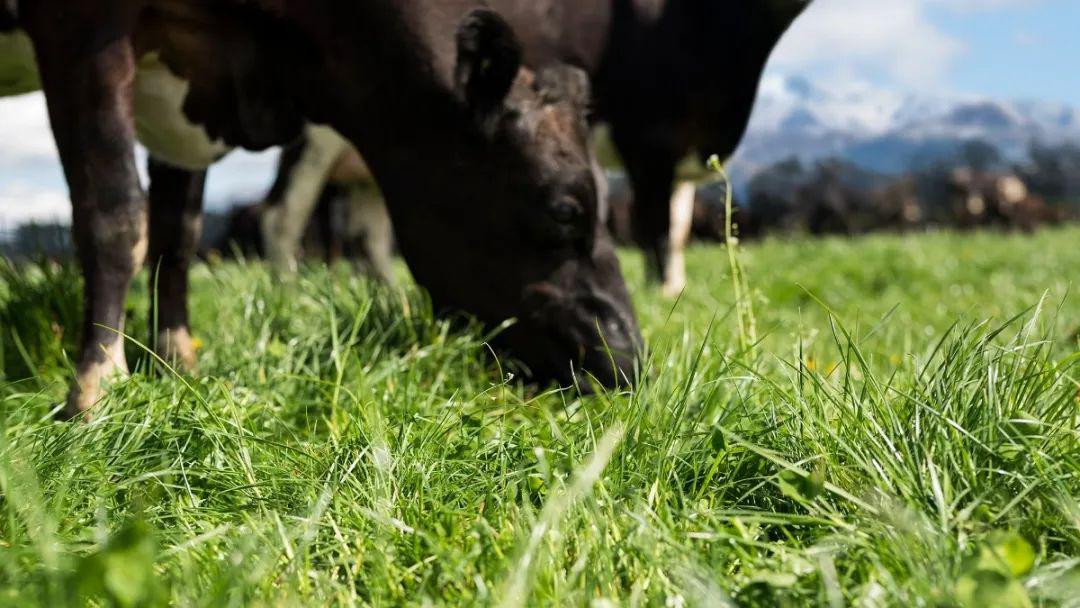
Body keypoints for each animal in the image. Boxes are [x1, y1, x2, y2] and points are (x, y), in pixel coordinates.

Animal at [0, 1, 639, 419]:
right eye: (563, 209)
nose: (627, 358)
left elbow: (176, 233)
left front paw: (178, 366)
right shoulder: (84, 30)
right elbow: (115, 217)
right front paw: (95, 389)